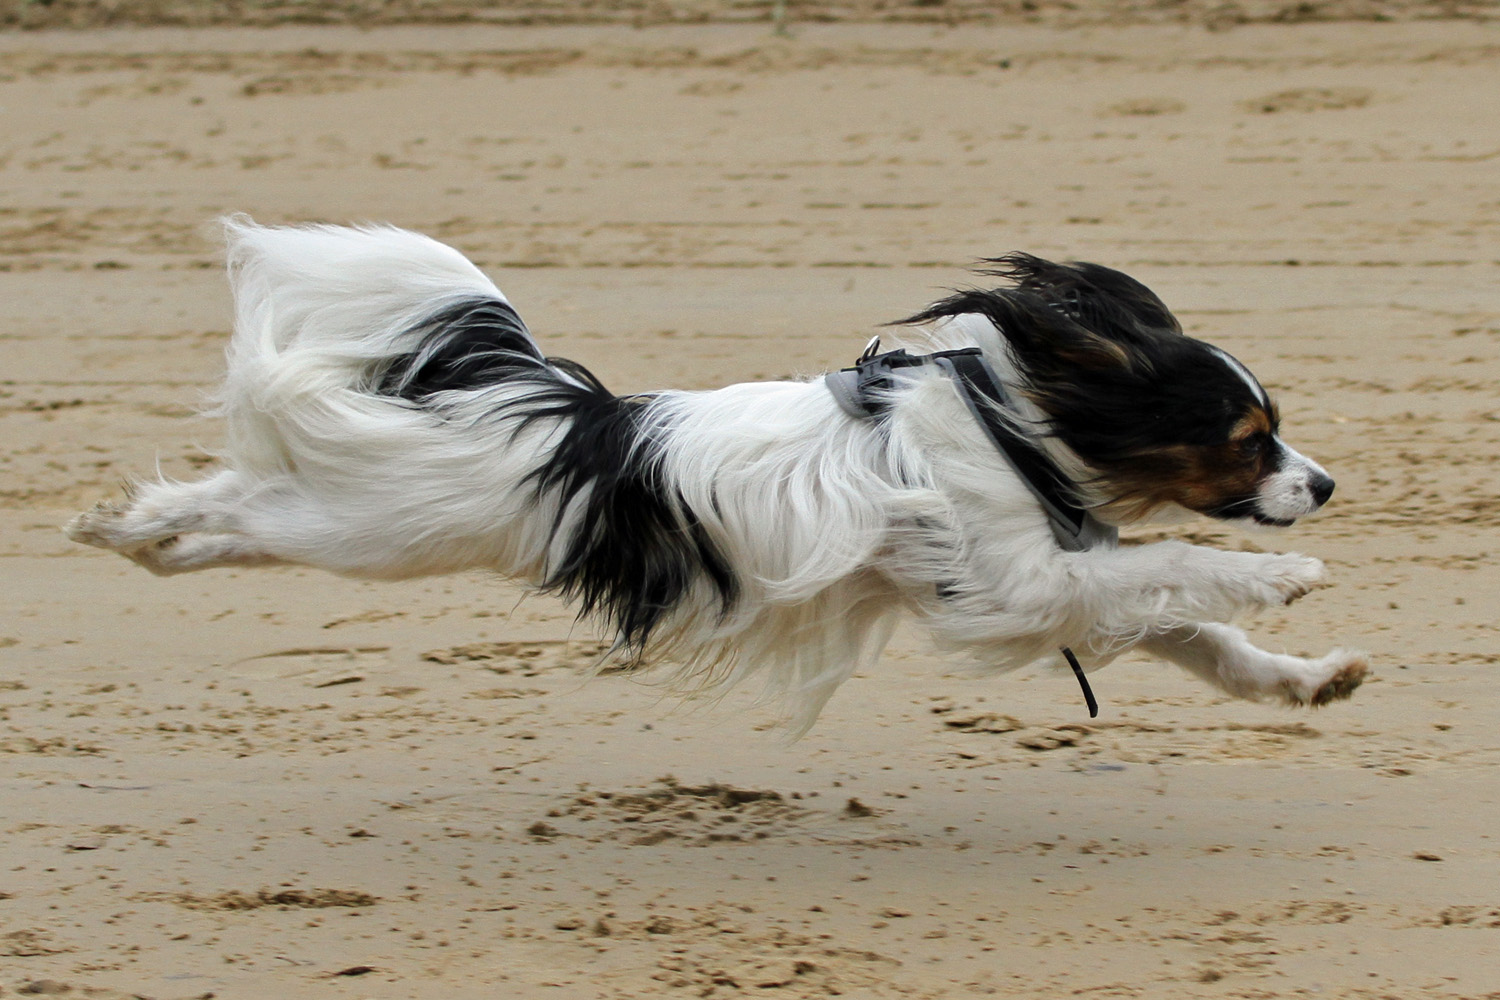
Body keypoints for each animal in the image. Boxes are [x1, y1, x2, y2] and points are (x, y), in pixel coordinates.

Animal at [70, 218, 1368, 731]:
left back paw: (140, 543)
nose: (1323, 486)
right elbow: (1182, 566)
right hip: (377, 530)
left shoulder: (1053, 588)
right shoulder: (1019, 587)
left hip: (367, 532)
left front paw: (1308, 679)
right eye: (1248, 440)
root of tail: (553, 416)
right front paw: (1291, 573)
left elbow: (1196, 635)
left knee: (233, 525)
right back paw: (124, 528)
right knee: (243, 504)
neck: (1012, 424)